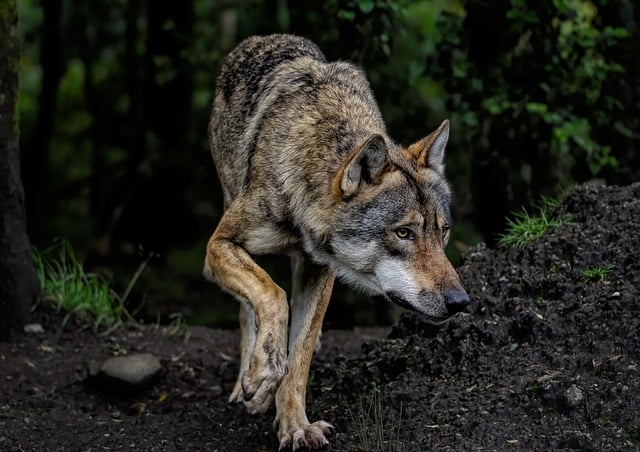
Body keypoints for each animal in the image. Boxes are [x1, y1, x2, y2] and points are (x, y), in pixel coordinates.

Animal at [203, 33, 469, 450]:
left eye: (442, 232)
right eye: (403, 233)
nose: (460, 302)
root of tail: (260, 40)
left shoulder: (320, 270)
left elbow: (300, 356)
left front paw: (295, 426)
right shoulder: (219, 245)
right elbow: (272, 296)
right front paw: (262, 374)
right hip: (229, 207)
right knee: (249, 309)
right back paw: (249, 380)